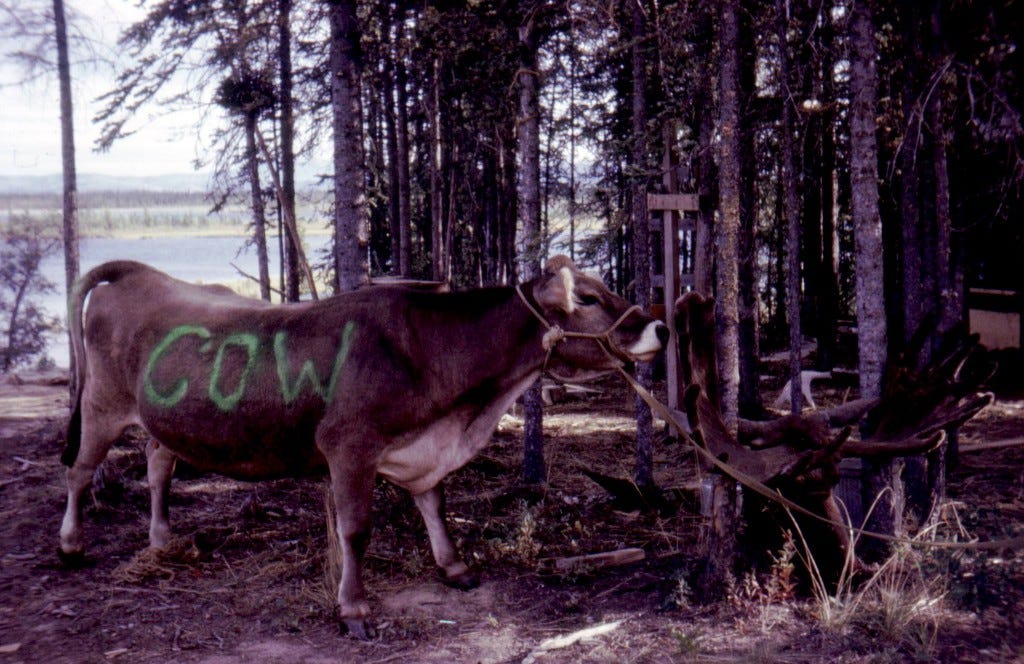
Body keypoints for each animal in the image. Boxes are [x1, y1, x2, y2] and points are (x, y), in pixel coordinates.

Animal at [61, 255, 671, 639]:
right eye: (588, 297)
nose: (660, 328)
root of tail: (140, 274)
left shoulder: (423, 450)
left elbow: (435, 507)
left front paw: (454, 568)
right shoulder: (349, 446)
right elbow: (356, 530)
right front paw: (353, 609)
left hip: (161, 418)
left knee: (157, 462)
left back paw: (162, 539)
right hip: (100, 404)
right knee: (79, 471)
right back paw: (71, 544)